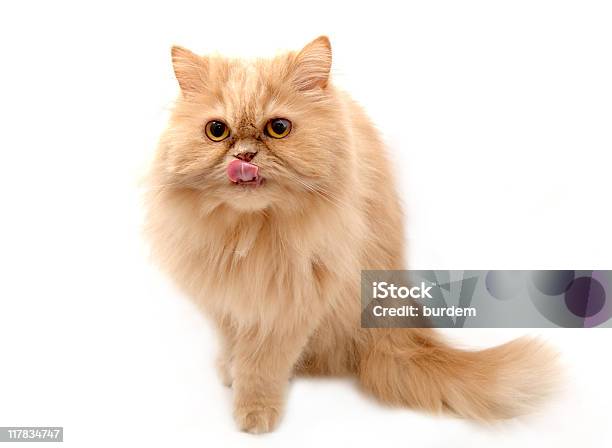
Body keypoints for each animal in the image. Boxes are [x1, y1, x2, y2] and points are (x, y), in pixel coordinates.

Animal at [145, 36, 560, 434]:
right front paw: (230, 369)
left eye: (278, 128)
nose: (244, 157)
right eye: (217, 131)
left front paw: (255, 412)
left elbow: (261, 367)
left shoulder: (290, 305)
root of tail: (396, 326)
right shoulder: (224, 301)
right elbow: (234, 345)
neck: (249, 235)